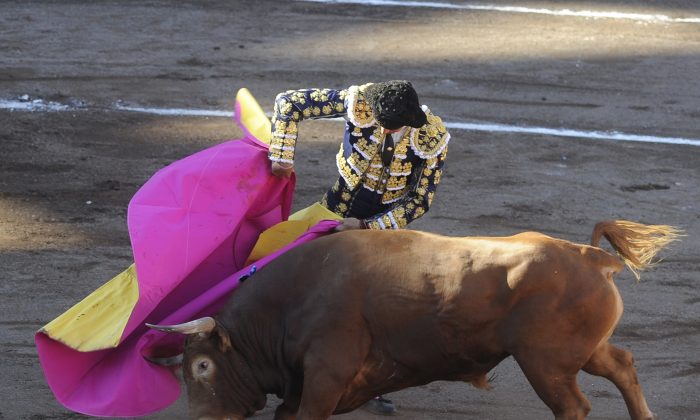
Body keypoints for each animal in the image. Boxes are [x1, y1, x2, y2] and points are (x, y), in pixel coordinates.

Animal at [150, 220, 680, 420]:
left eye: (202, 367)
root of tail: (589, 255)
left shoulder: (326, 371)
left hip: (545, 362)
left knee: (573, 406)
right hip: (581, 351)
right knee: (622, 365)